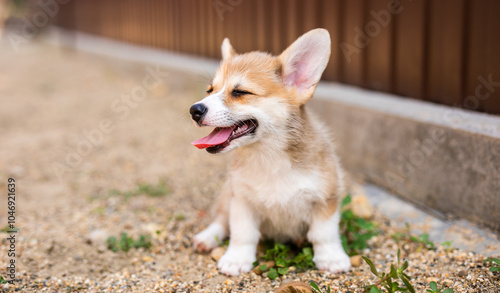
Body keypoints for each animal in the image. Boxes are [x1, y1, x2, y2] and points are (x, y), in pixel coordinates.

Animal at [189, 28, 350, 274]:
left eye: (240, 92)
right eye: (210, 90)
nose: (194, 110)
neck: (269, 155)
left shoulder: (326, 198)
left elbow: (324, 234)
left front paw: (331, 257)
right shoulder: (241, 201)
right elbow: (242, 234)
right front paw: (236, 259)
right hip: (227, 195)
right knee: (221, 220)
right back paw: (206, 238)